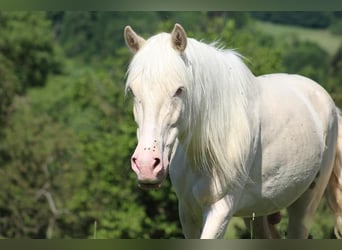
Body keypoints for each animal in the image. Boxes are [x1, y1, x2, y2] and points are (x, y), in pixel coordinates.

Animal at [124, 23, 342, 240]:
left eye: (179, 90)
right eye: (133, 92)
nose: (146, 166)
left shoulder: (220, 211)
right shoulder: (187, 212)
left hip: (305, 206)